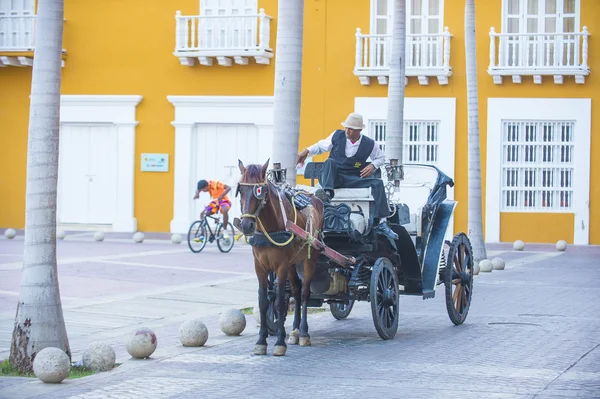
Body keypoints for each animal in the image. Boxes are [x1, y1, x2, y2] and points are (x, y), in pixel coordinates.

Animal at [237, 159, 326, 356]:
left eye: (259, 191)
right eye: (240, 189)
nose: (246, 225)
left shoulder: (281, 266)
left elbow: (279, 303)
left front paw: (279, 342)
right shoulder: (260, 267)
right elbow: (263, 303)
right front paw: (262, 341)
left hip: (309, 260)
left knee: (305, 293)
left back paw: (304, 332)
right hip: (293, 264)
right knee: (296, 292)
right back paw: (294, 331)